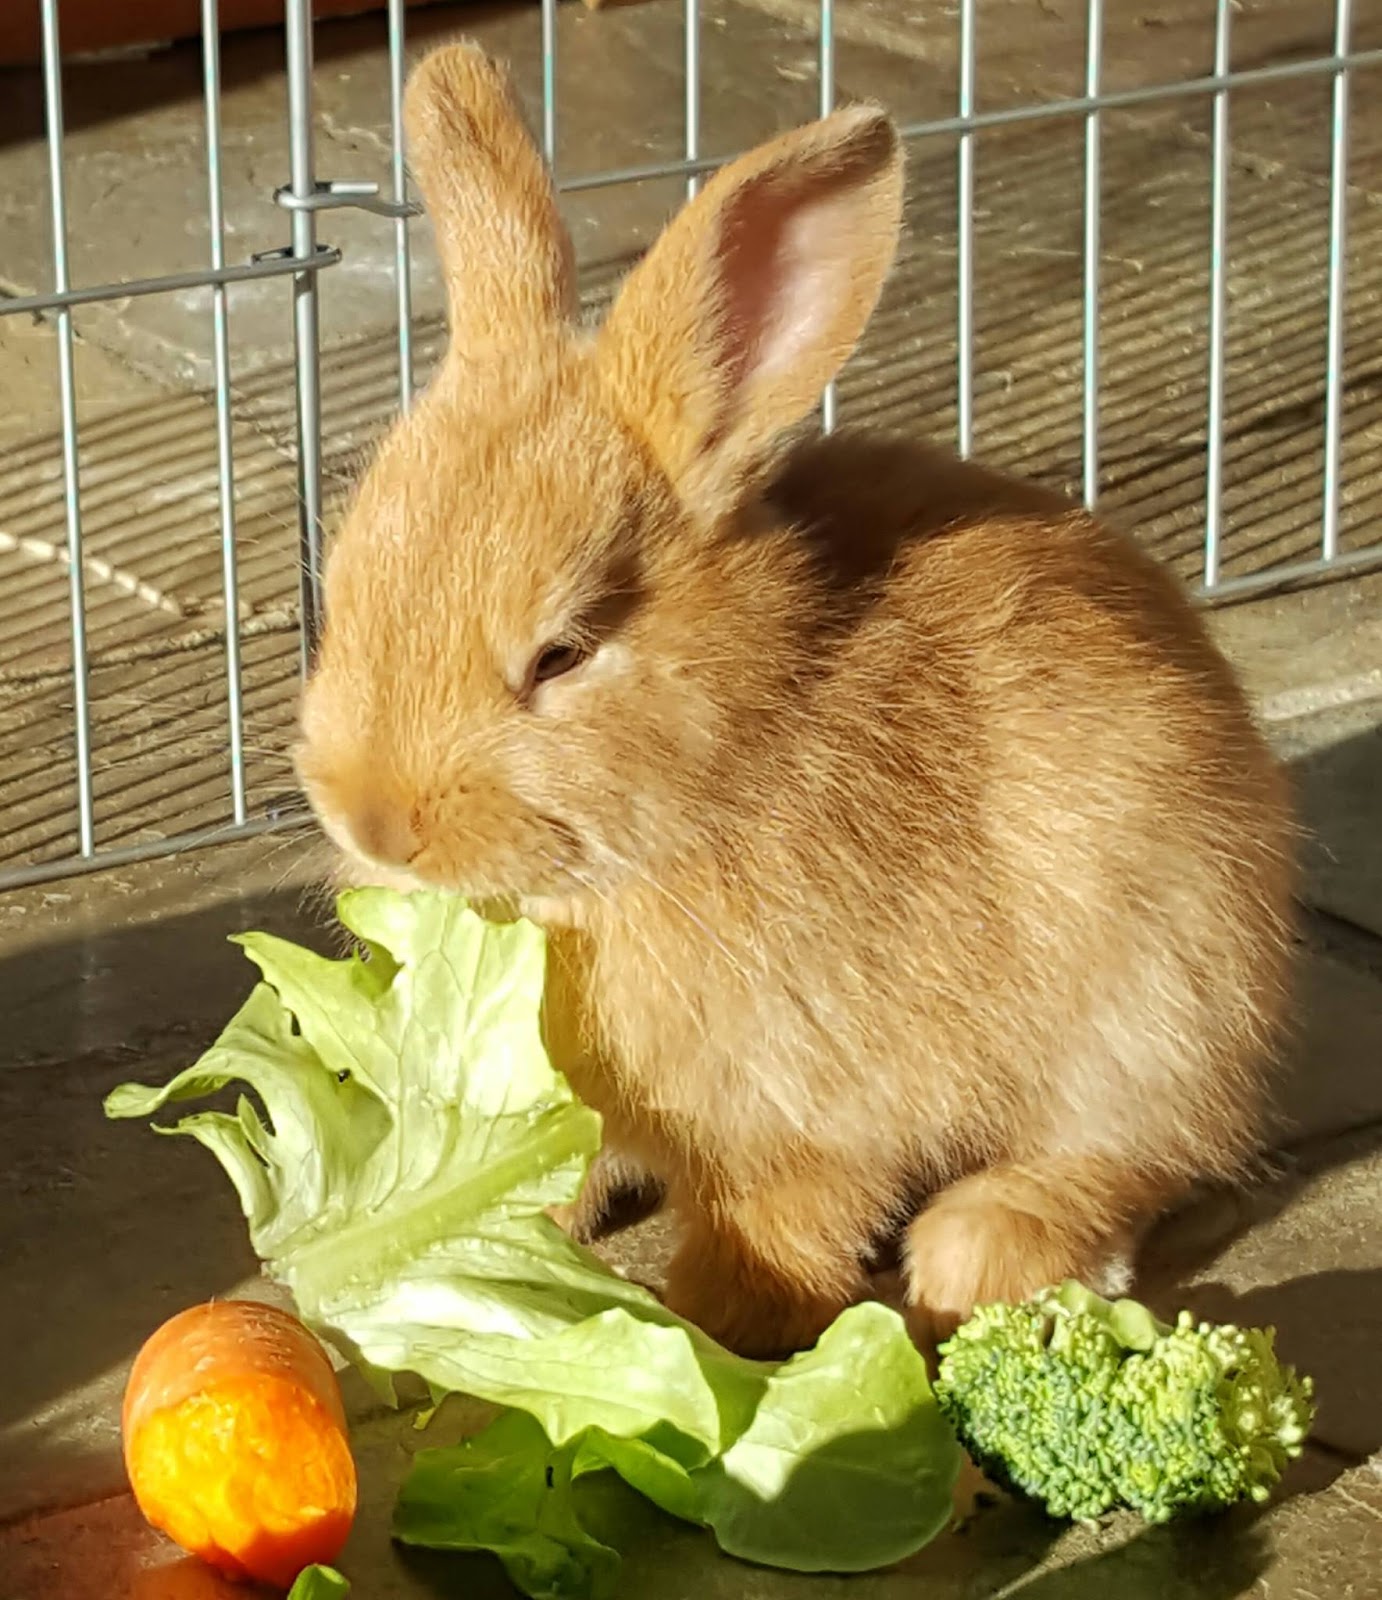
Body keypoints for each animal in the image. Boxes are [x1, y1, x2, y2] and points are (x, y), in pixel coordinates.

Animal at [295, 43, 1295, 1358]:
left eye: (563, 653)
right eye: (347, 579)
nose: (373, 823)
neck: (709, 779)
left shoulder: (817, 1110)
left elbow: (788, 1208)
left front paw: (714, 1314)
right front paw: (506, 1227)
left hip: (1157, 993)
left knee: (1141, 1149)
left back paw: (982, 1244)